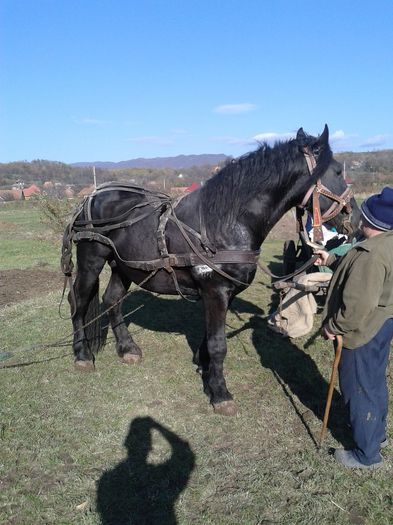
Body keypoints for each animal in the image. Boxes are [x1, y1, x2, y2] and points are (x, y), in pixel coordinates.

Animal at [61, 126, 358, 414]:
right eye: (338, 171)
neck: (226, 222)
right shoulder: (216, 290)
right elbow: (218, 344)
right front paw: (220, 393)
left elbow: (209, 338)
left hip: (124, 268)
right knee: (79, 302)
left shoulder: (224, 293)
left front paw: (204, 367)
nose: (353, 216)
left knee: (112, 300)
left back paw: (127, 348)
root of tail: (91, 197)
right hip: (91, 261)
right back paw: (83, 355)